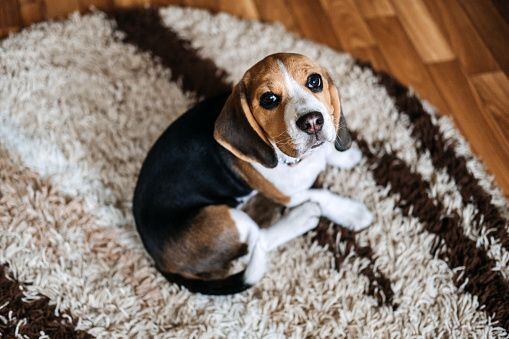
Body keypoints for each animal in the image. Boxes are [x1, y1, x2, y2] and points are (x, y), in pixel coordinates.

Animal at [134, 52, 374, 294]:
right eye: (269, 99)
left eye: (314, 81)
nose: (313, 121)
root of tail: (158, 261)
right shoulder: (286, 195)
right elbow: (321, 194)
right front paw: (351, 212)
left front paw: (344, 156)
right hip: (228, 219)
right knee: (259, 241)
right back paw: (302, 217)